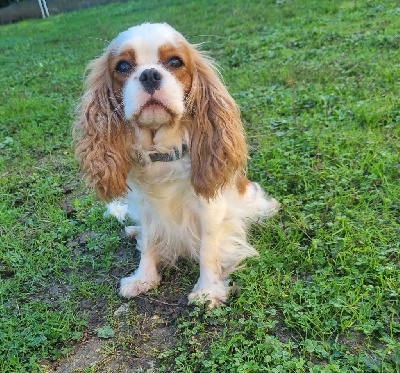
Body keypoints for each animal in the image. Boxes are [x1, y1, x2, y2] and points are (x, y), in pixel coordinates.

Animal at [73, 24, 280, 308]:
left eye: (175, 62)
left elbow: (208, 248)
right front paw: (144, 278)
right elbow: (150, 240)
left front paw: (208, 290)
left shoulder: (210, 207)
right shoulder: (146, 206)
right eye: (123, 66)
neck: (161, 152)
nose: (149, 74)